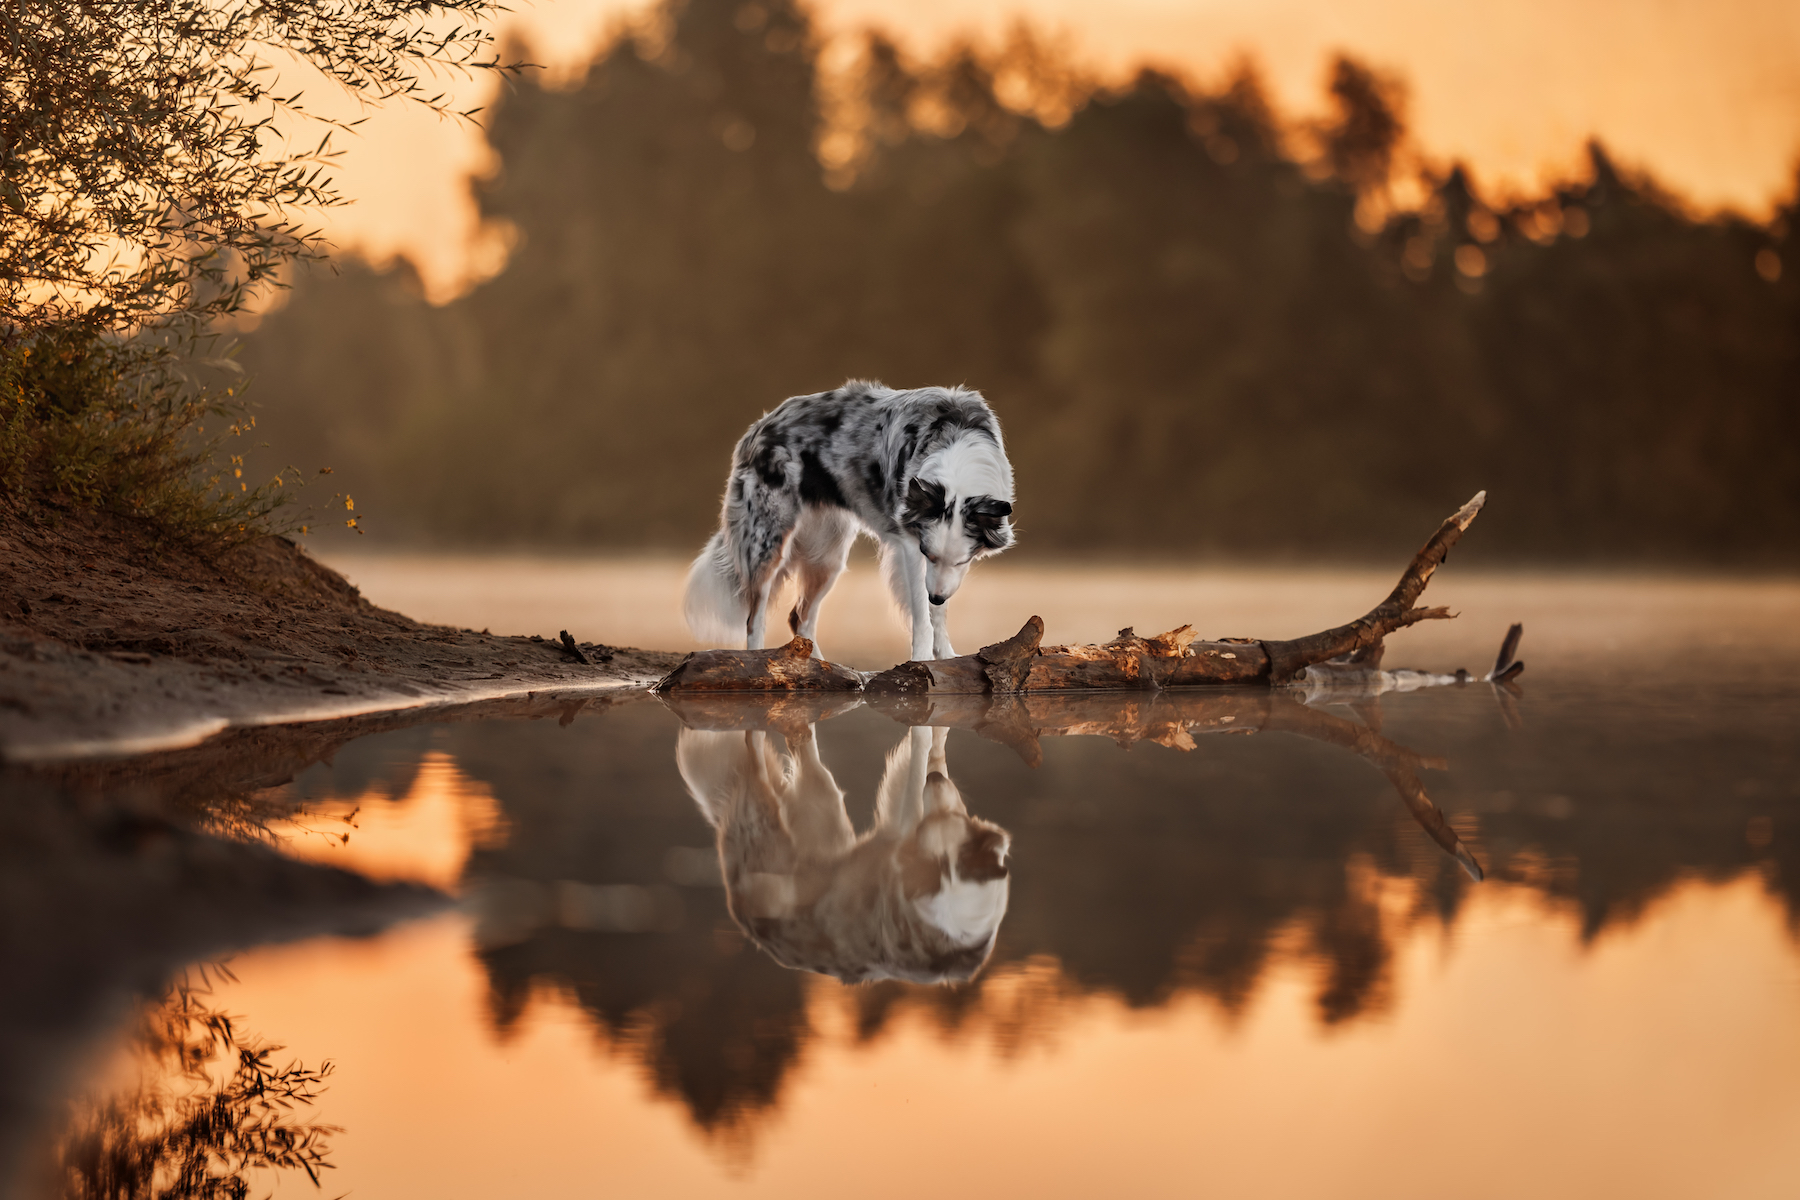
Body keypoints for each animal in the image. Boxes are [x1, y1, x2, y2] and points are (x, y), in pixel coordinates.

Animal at [676, 723, 1015, 985]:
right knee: (760, 750)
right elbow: (926, 747)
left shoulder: (905, 829)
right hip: (802, 808)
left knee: (788, 748)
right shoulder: (904, 826)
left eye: (948, 819)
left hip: (820, 806)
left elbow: (930, 747)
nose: (936, 780)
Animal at [680, 379, 1015, 662]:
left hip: (828, 557)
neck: (958, 450)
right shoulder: (910, 545)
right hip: (768, 543)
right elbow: (922, 616)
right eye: (926, 553)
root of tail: (759, 426)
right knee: (754, 619)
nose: (937, 596)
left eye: (963, 561)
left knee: (800, 617)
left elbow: (938, 616)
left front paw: (946, 657)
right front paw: (921, 661)